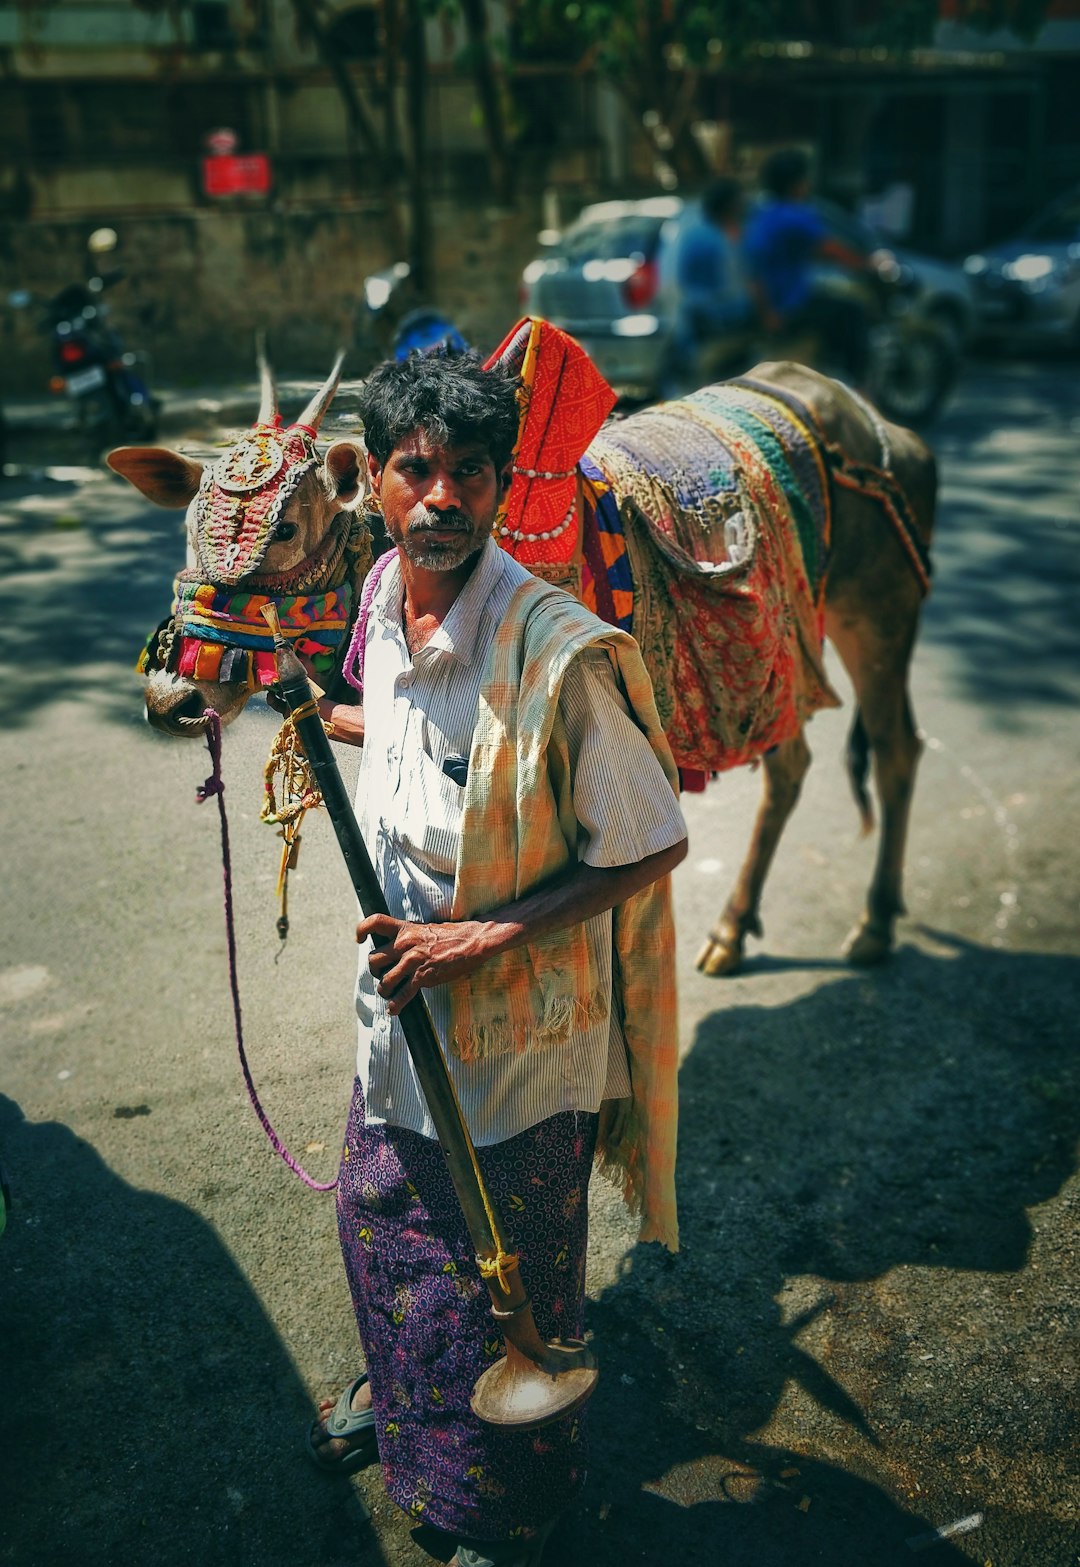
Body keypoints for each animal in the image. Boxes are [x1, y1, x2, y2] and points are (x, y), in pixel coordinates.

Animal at [111, 322, 934, 971]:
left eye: (283, 529)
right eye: (187, 523)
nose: (172, 696)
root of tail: (885, 427)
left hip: (878, 614)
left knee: (897, 748)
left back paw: (874, 923)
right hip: (780, 662)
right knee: (790, 764)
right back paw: (733, 931)